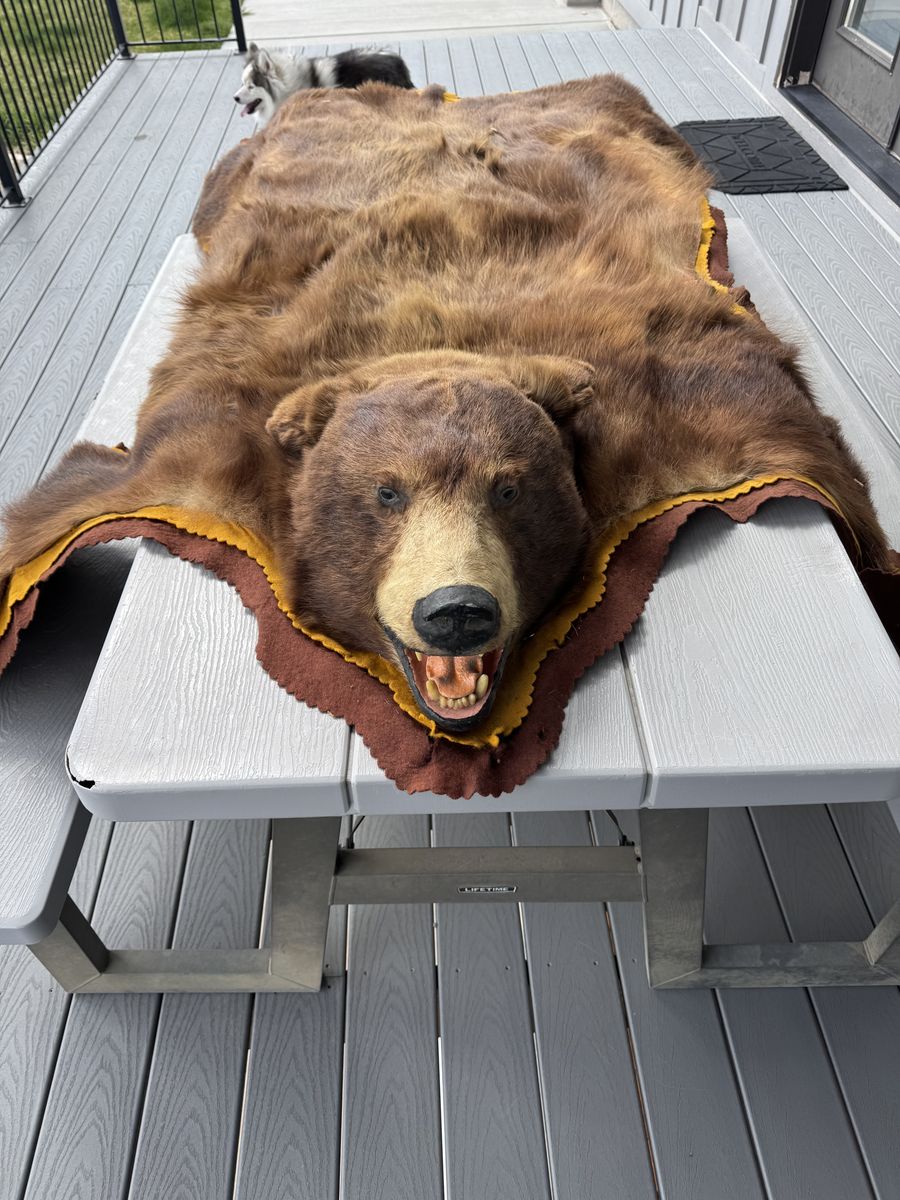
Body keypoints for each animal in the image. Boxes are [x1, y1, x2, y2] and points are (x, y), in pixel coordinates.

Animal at [0, 76, 890, 735]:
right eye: (385, 493)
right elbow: (67, 504)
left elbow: (799, 445)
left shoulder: (676, 411)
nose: (456, 612)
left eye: (511, 487)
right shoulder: (213, 448)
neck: (432, 348)